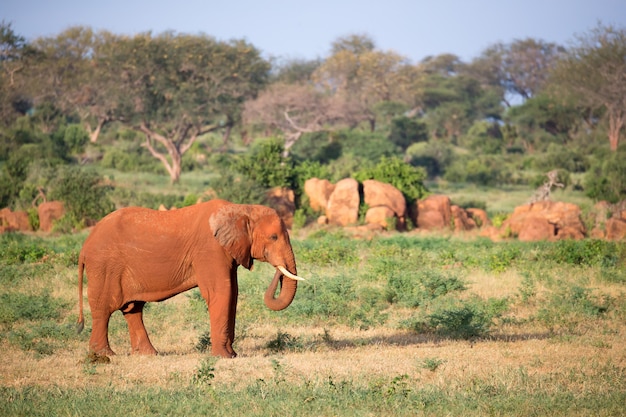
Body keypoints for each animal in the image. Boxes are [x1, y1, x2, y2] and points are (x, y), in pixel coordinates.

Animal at [77, 198, 302, 358]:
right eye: (273, 237)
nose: (278, 269)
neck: (241, 209)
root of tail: (85, 245)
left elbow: (233, 293)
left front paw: (233, 355)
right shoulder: (209, 250)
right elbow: (222, 292)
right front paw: (223, 357)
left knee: (133, 309)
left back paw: (149, 354)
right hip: (104, 266)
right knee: (105, 308)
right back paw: (105, 354)